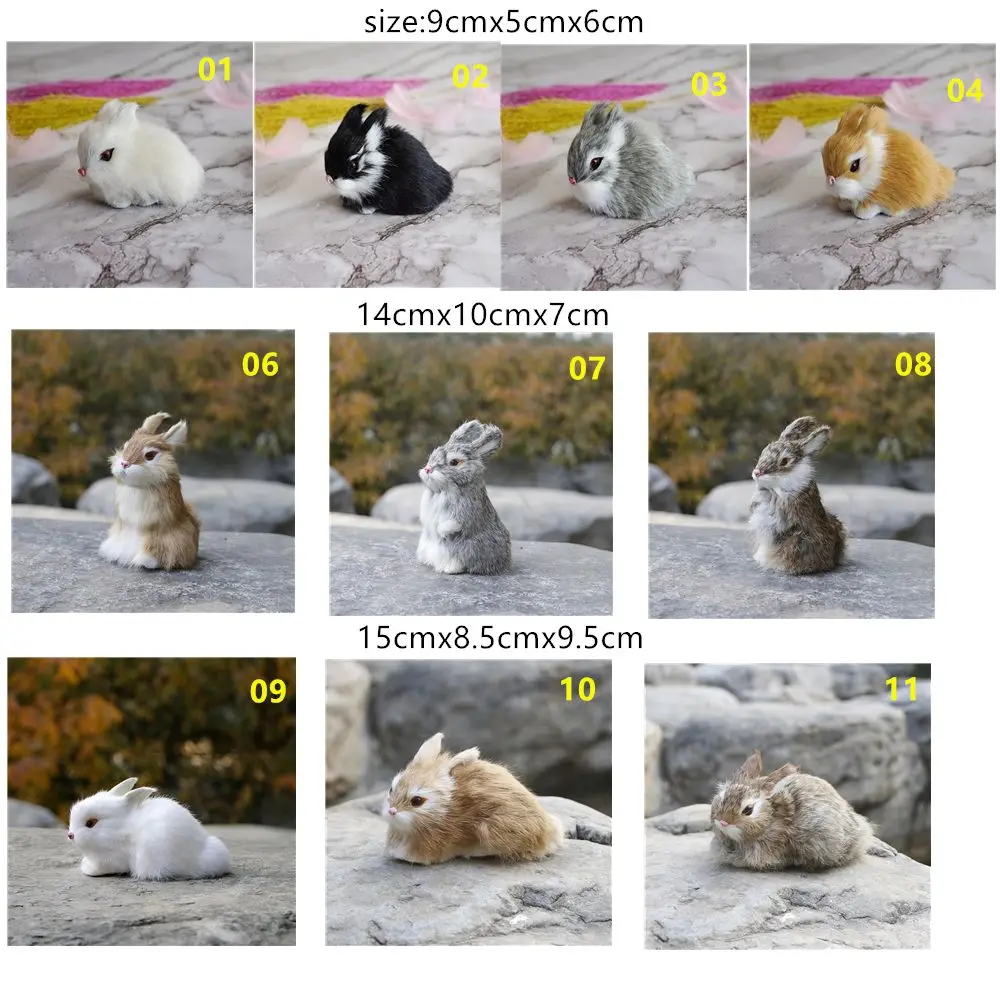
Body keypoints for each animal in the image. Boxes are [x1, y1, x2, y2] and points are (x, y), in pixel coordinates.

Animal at [99, 412, 200, 570]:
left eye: (150, 455)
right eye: (125, 446)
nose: (125, 463)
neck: (138, 487)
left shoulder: (159, 529)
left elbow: (155, 546)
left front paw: (144, 561)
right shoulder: (124, 524)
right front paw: (114, 553)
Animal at [382, 732, 564, 865]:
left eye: (417, 801)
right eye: (391, 789)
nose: (392, 811)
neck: (443, 812)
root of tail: (550, 834)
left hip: (491, 829)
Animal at [417, 419, 512, 575]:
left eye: (454, 462)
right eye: (432, 456)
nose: (427, 469)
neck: (441, 490)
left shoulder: (466, 511)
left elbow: (454, 524)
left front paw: (441, 531)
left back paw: (449, 569)